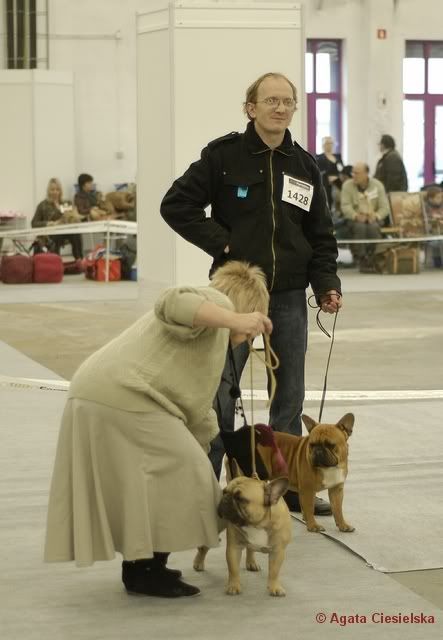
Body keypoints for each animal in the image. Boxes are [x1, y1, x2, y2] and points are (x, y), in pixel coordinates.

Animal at [194, 460, 292, 596]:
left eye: (241, 499)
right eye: (224, 492)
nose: (225, 499)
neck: (256, 524)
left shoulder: (278, 551)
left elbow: (274, 571)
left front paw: (274, 587)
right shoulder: (234, 548)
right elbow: (233, 568)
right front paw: (234, 586)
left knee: (250, 549)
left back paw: (251, 563)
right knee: (203, 548)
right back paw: (198, 563)